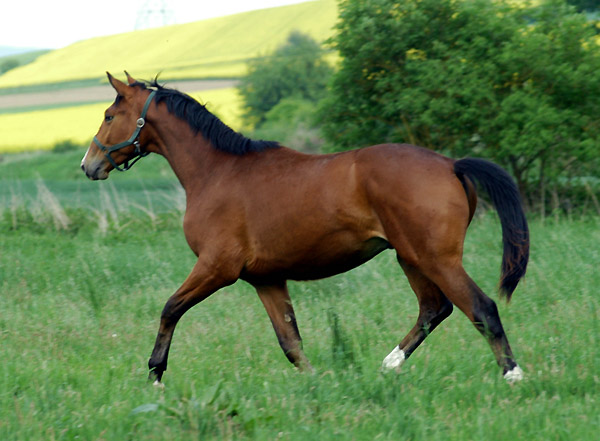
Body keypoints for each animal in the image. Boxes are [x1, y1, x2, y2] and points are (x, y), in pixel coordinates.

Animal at [81, 71, 528, 382]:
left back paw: (513, 375)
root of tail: (451, 164)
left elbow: (170, 308)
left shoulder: (216, 268)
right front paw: (318, 384)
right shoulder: (266, 279)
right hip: (410, 257)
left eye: (109, 115)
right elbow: (290, 342)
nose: (89, 165)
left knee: (481, 308)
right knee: (435, 309)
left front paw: (156, 373)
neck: (217, 172)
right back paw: (389, 364)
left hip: (435, 258)